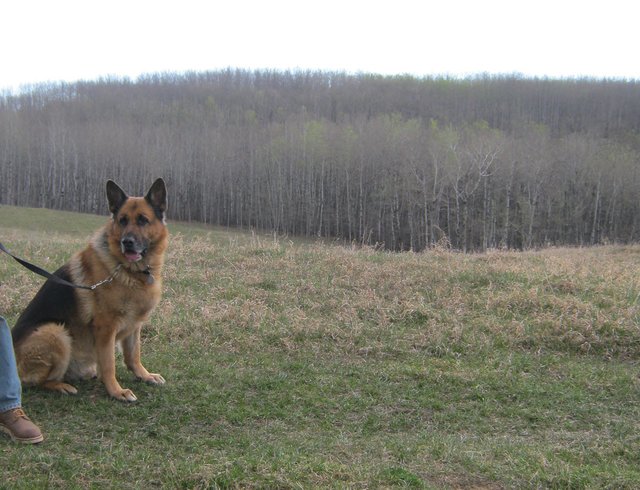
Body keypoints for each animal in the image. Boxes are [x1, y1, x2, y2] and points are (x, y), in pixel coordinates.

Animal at [12, 179, 169, 402]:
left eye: (143, 220)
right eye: (122, 220)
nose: (127, 242)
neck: (128, 271)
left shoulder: (134, 324)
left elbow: (134, 355)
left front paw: (145, 375)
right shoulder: (106, 328)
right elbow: (109, 364)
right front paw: (116, 391)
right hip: (55, 332)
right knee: (38, 381)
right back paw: (61, 385)